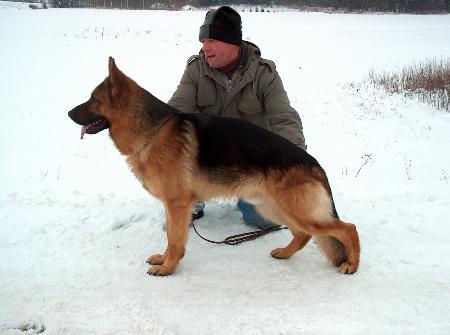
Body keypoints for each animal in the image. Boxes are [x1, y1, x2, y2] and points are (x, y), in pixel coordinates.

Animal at [67, 57, 362, 276]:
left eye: (93, 100)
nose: (68, 113)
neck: (152, 130)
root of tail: (314, 164)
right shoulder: (173, 207)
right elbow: (170, 237)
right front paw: (163, 259)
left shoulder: (177, 205)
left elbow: (175, 240)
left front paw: (168, 268)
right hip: (271, 208)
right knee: (303, 234)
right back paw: (284, 253)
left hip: (294, 210)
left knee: (347, 228)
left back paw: (352, 264)